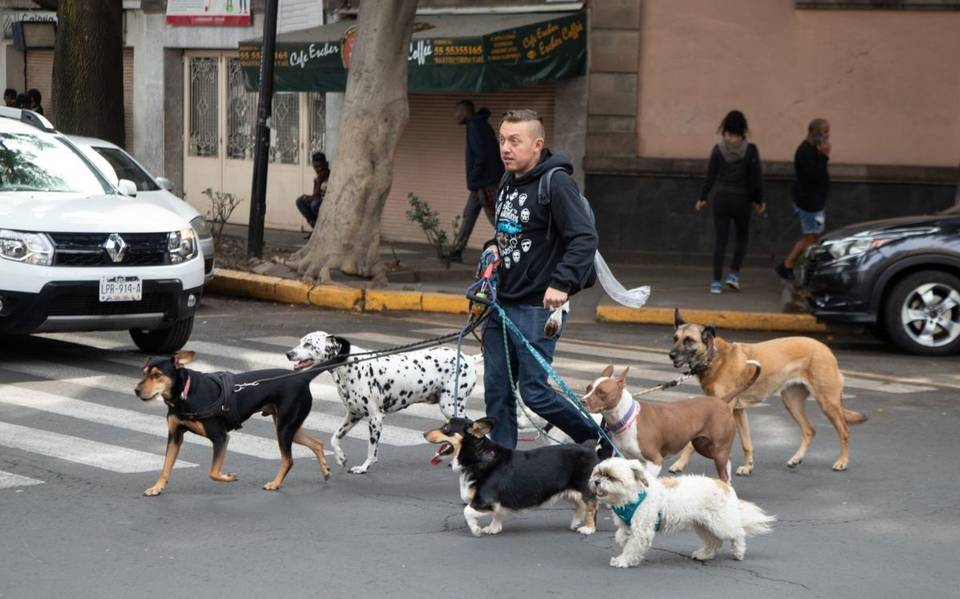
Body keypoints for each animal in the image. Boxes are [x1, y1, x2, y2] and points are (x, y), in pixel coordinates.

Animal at [135, 352, 330, 496]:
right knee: (317, 443)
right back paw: (325, 470)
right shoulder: (175, 436)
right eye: (143, 372)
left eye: (157, 375)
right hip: (288, 426)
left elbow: (213, 473)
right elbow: (166, 466)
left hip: (285, 428)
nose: (136, 391)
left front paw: (229, 477)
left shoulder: (220, 437)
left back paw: (275, 484)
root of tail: (302, 378)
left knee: (288, 459)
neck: (185, 394)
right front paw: (157, 487)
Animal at [284, 332, 480, 474]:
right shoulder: (353, 415)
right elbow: (334, 438)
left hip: (451, 407)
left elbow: (372, 449)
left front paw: (364, 467)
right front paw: (340, 458)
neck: (350, 364)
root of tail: (469, 358)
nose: (288, 354)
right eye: (301, 342)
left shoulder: (375, 419)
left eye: (308, 344)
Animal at [580, 360, 760, 482]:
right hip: (704, 446)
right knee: (728, 460)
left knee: (723, 472)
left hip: (718, 449)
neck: (627, 418)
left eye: (602, 392)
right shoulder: (628, 459)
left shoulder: (654, 462)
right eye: (588, 388)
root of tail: (721, 401)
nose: (582, 401)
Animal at [588, 458, 776, 568]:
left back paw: (738, 552)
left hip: (720, 523)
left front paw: (623, 560)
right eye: (598, 473)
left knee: (738, 533)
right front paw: (622, 541)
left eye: (610, 477)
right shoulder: (627, 524)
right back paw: (704, 554)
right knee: (715, 542)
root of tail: (723, 485)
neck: (634, 495)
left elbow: (632, 547)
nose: (596, 481)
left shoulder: (642, 529)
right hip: (704, 525)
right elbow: (621, 535)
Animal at [672, 308, 868, 476]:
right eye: (675, 338)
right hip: (791, 402)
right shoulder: (738, 411)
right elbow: (746, 443)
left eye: (689, 340)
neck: (713, 357)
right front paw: (748, 466)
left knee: (844, 430)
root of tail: (825, 348)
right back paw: (796, 458)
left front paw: (678, 464)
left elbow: (691, 444)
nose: (671, 355)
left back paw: (842, 462)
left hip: (827, 402)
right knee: (809, 430)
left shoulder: (721, 412)